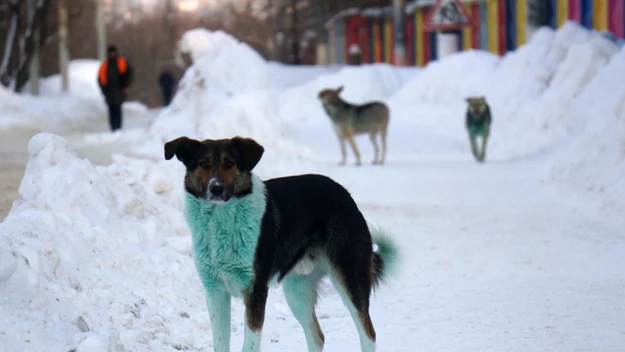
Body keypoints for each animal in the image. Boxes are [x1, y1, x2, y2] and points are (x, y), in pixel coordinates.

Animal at [166, 135, 398, 352]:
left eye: (229, 163)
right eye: (204, 163)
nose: (216, 188)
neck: (219, 221)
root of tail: (345, 195)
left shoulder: (255, 292)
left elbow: (249, 344)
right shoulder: (216, 293)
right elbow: (221, 343)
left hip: (350, 280)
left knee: (368, 333)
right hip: (298, 292)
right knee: (317, 336)